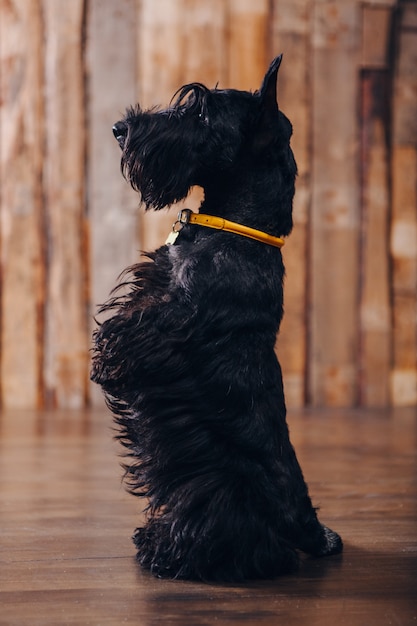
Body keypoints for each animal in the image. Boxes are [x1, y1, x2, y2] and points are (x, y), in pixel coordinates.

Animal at [91, 56, 342, 576]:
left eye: (202, 113)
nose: (120, 129)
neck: (237, 226)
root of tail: (309, 527)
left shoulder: (177, 321)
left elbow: (126, 334)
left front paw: (105, 360)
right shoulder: (153, 289)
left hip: (226, 492)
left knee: (244, 544)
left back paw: (168, 552)